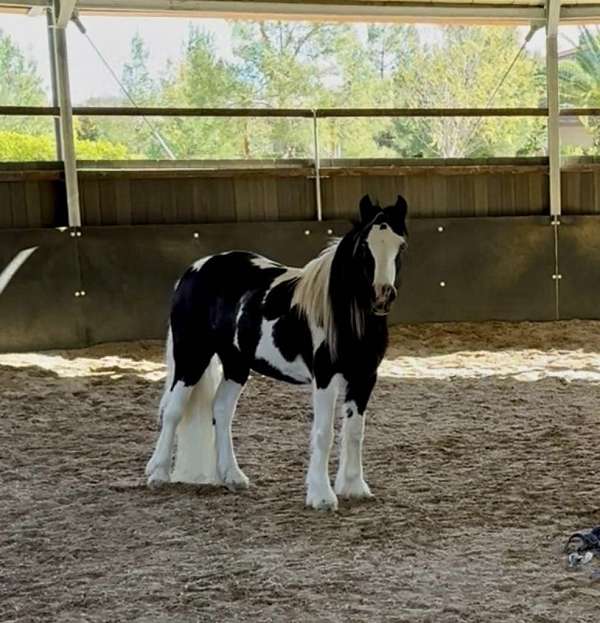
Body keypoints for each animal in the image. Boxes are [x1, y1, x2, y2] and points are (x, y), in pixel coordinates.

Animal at [145, 195, 408, 512]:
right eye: (364, 248)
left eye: (401, 245)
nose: (382, 294)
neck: (344, 315)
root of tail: (194, 269)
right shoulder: (325, 378)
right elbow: (324, 433)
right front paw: (321, 496)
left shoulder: (365, 377)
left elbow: (355, 431)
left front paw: (354, 487)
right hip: (191, 356)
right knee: (173, 410)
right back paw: (158, 474)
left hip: (236, 364)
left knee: (221, 410)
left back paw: (233, 476)